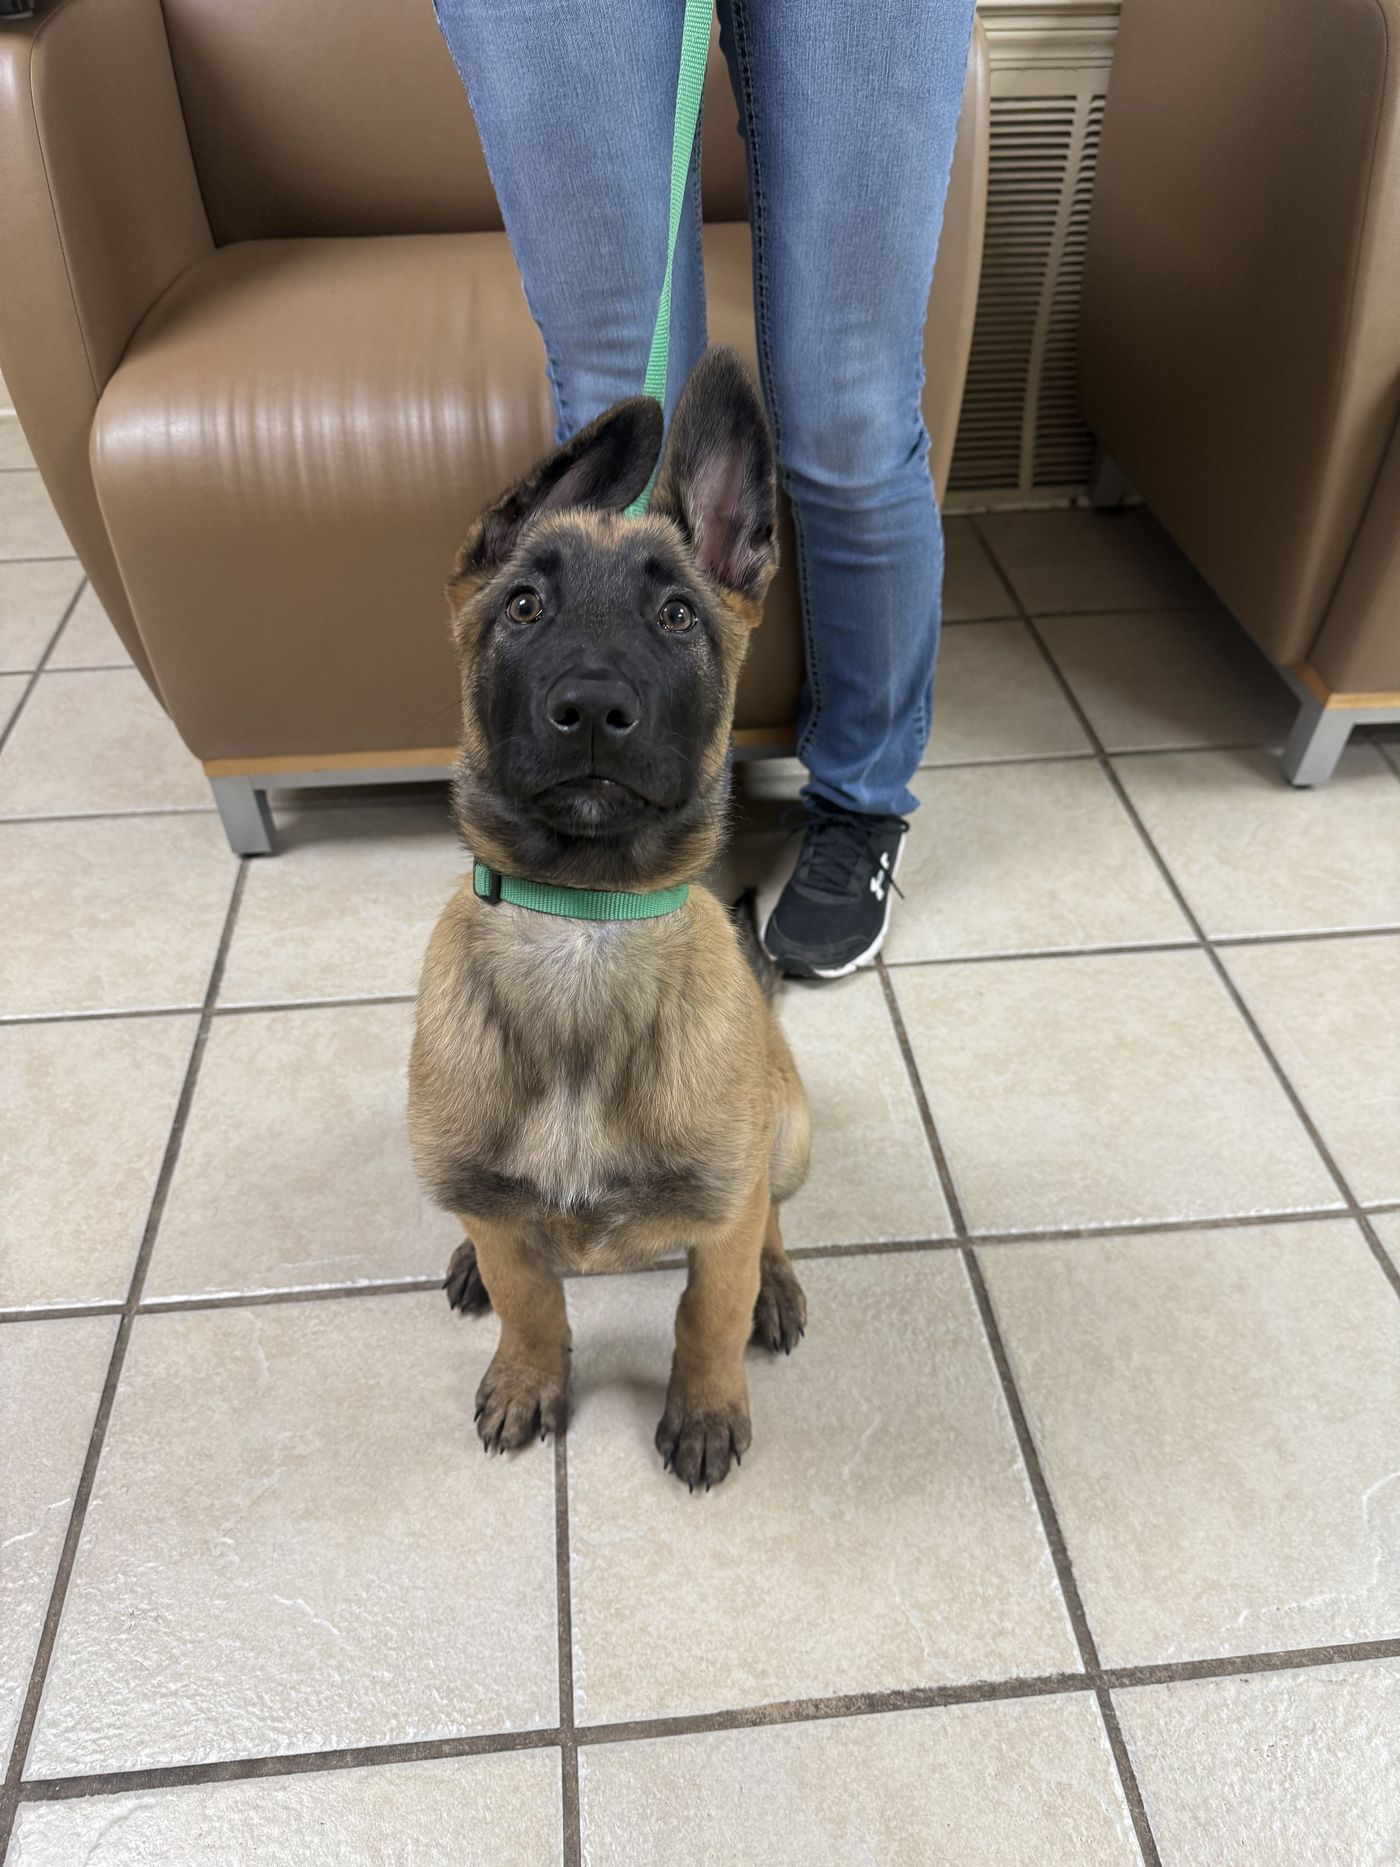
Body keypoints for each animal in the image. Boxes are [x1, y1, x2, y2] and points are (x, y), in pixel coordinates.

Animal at [408, 348, 811, 1490]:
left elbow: (706, 1310)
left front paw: (708, 1407)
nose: (590, 710)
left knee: (768, 1219)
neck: (582, 920)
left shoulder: (721, 1208)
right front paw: (526, 1375)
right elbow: (531, 1300)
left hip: (787, 1135)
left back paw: (776, 1280)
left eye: (677, 617)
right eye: (524, 605)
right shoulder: (499, 1210)